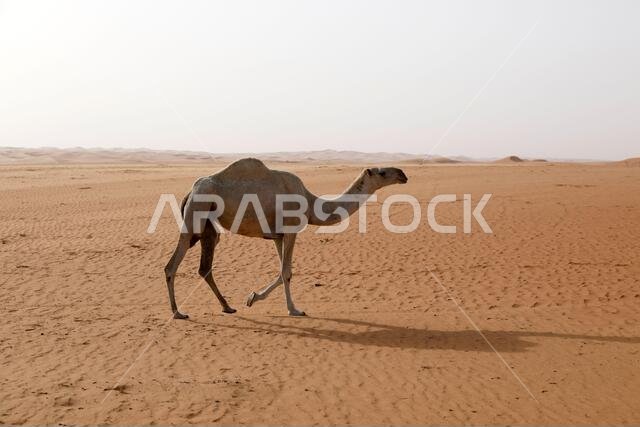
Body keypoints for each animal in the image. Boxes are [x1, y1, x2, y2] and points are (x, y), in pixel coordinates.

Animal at [164, 158, 408, 319]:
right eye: (382, 172)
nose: (403, 174)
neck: (311, 203)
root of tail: (191, 190)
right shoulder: (291, 230)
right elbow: (287, 272)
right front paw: (294, 310)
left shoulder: (277, 236)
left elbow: (282, 272)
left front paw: (252, 298)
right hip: (195, 214)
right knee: (173, 263)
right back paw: (178, 312)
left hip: (207, 224)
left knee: (205, 264)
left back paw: (227, 307)